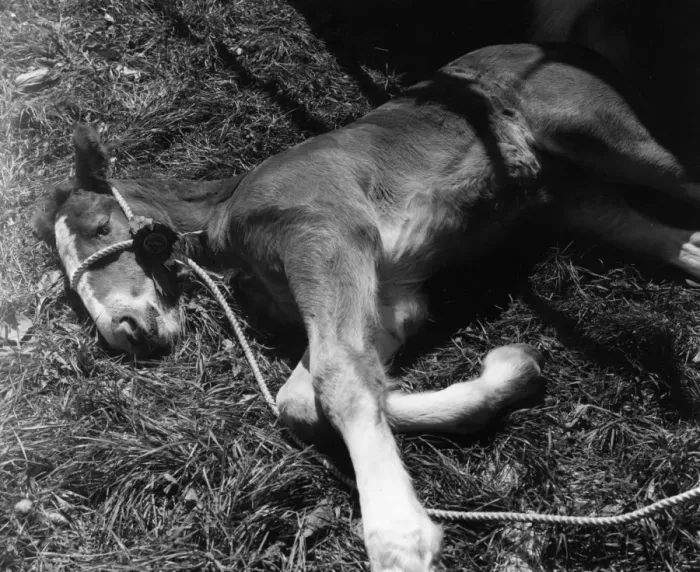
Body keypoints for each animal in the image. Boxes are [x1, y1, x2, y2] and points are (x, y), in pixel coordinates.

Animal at [32, 43, 700, 572]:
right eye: (66, 276)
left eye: (98, 228)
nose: (123, 331)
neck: (228, 224)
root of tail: (557, 47)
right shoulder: (389, 300)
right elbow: (313, 396)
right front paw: (511, 372)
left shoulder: (326, 236)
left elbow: (338, 377)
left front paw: (400, 538)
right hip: (571, 198)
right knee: (680, 239)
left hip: (600, 134)